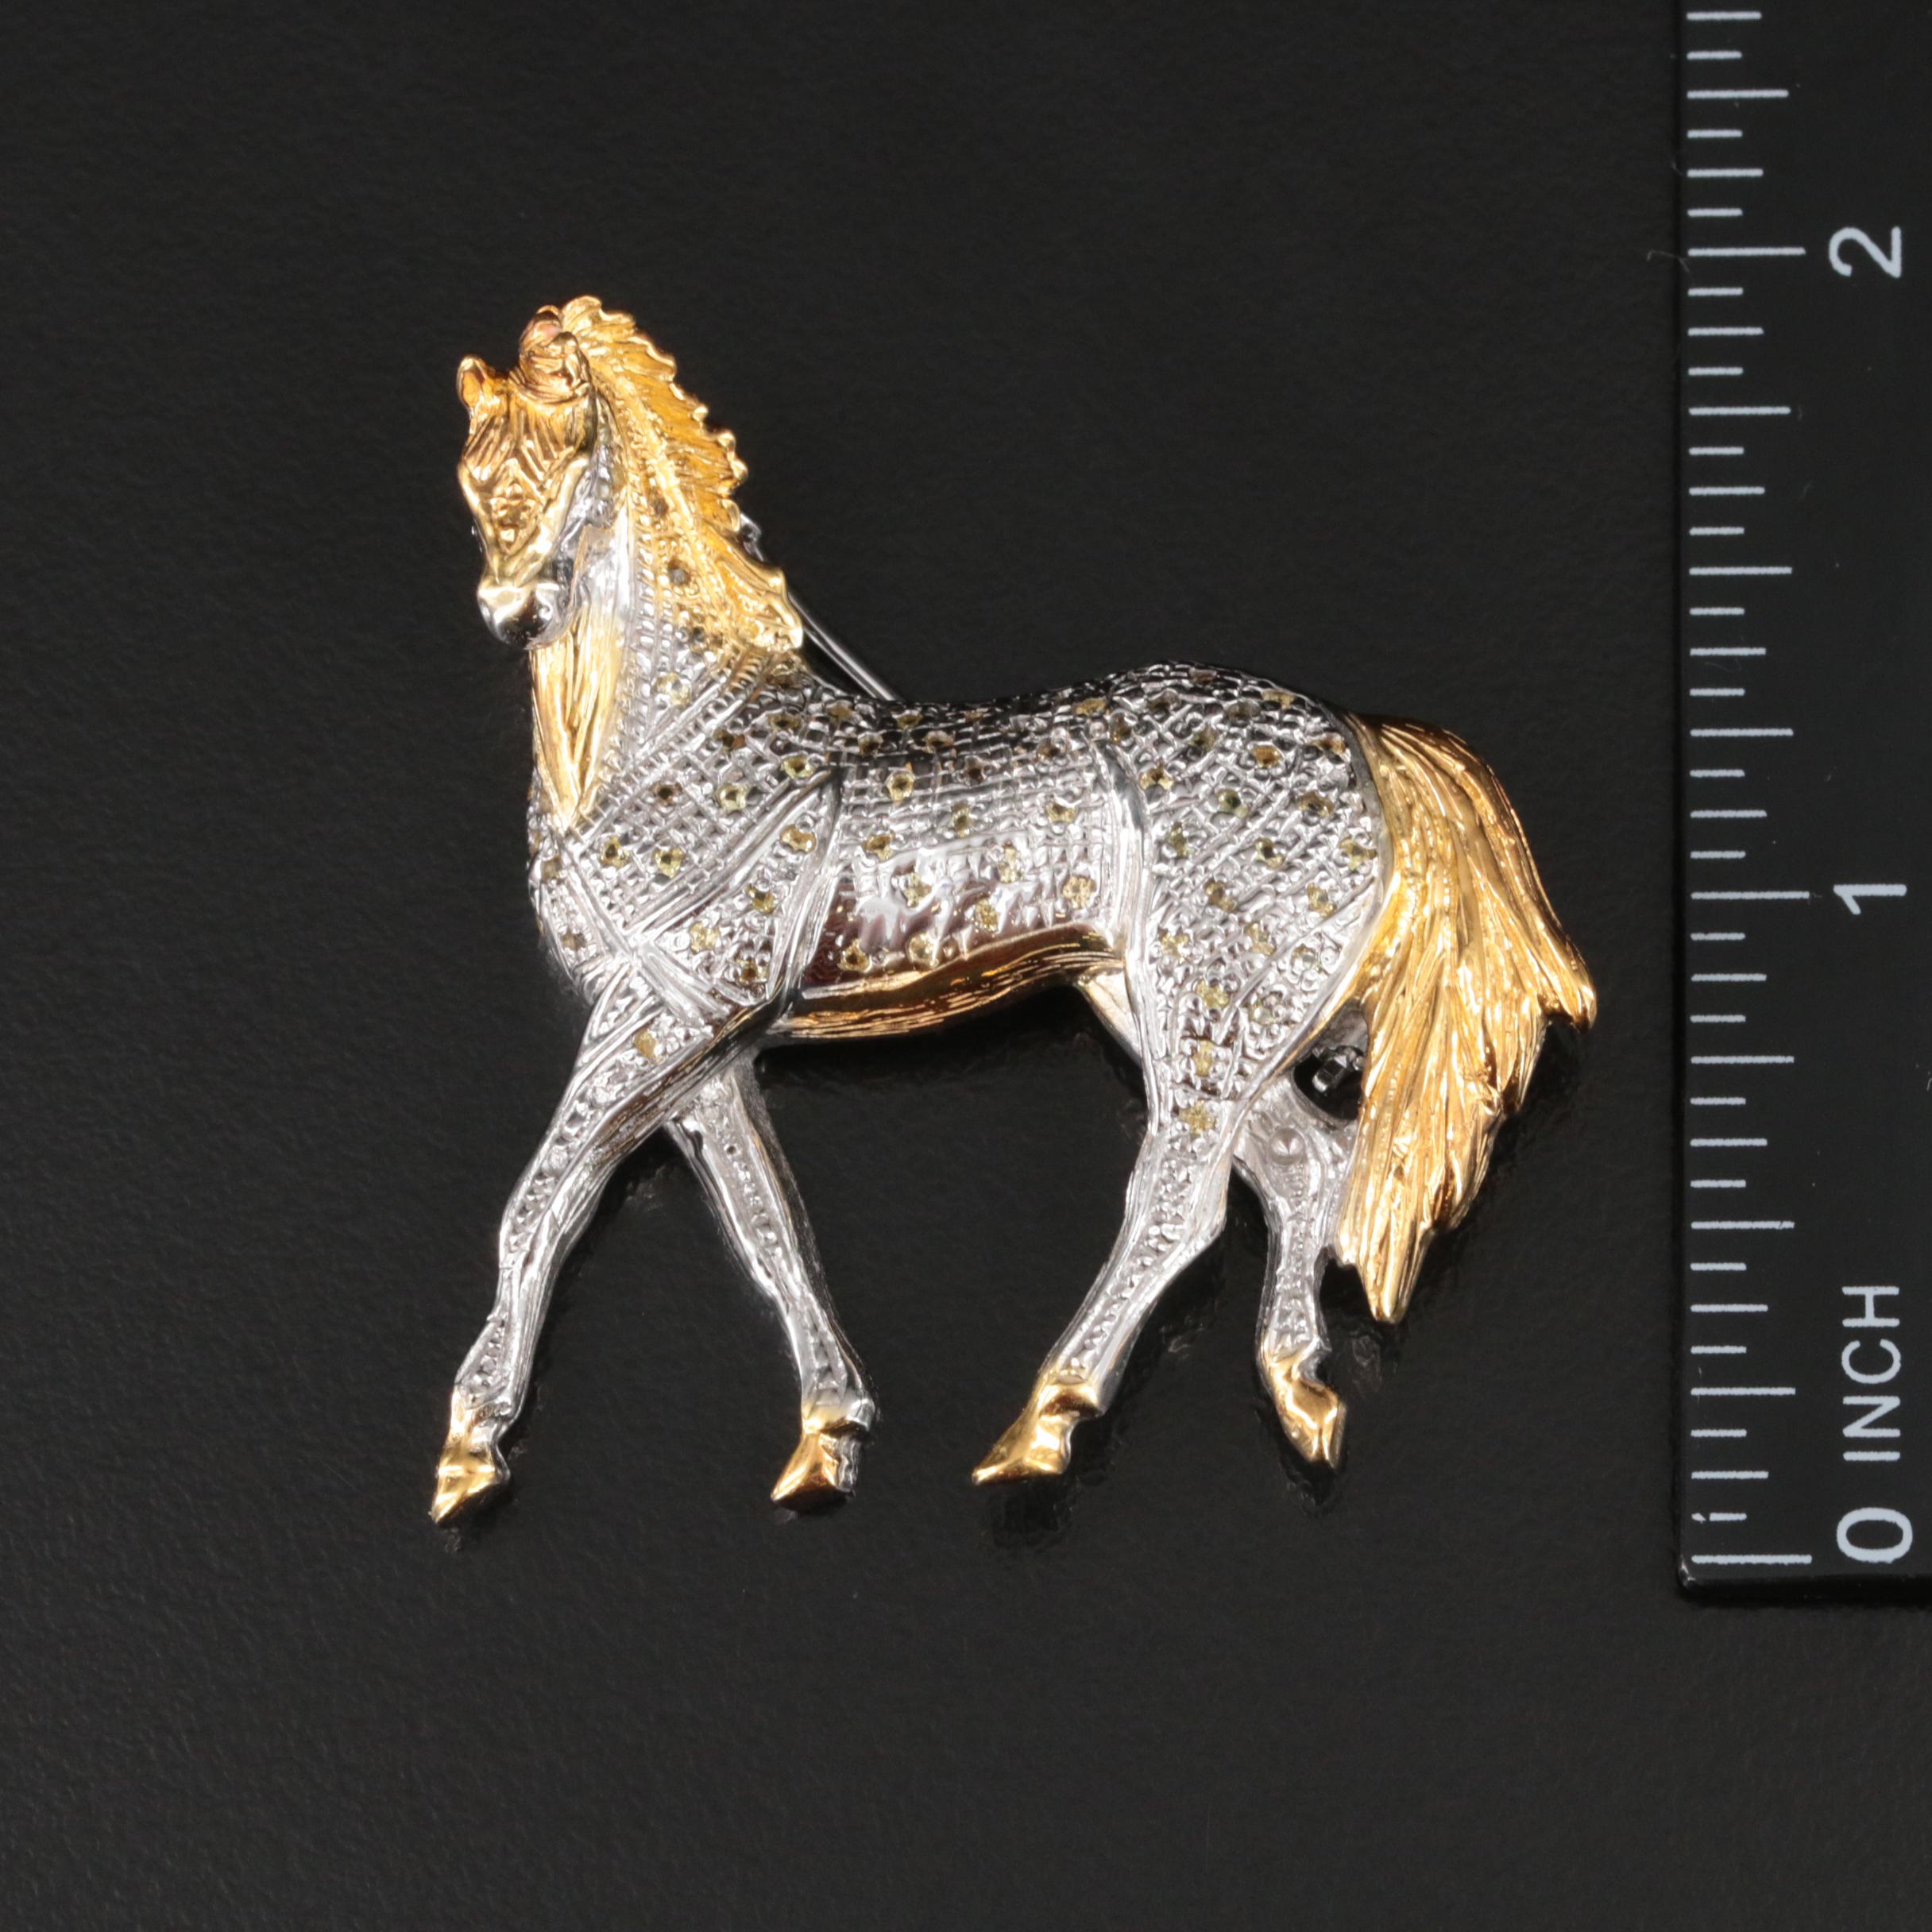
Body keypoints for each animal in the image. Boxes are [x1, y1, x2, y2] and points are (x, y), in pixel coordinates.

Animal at [432, 298, 1595, 1522]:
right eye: (472, 474)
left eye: (568, 454)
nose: (509, 608)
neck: (664, 733)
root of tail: (1362, 737)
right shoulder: (701, 1041)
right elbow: (766, 1231)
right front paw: (827, 1431)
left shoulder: (672, 1008)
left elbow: (536, 1205)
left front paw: (470, 1443)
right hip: (1185, 1011)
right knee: (1303, 1173)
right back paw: (1296, 1391)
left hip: (1206, 1013)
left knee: (1183, 1203)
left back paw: (1044, 1425)